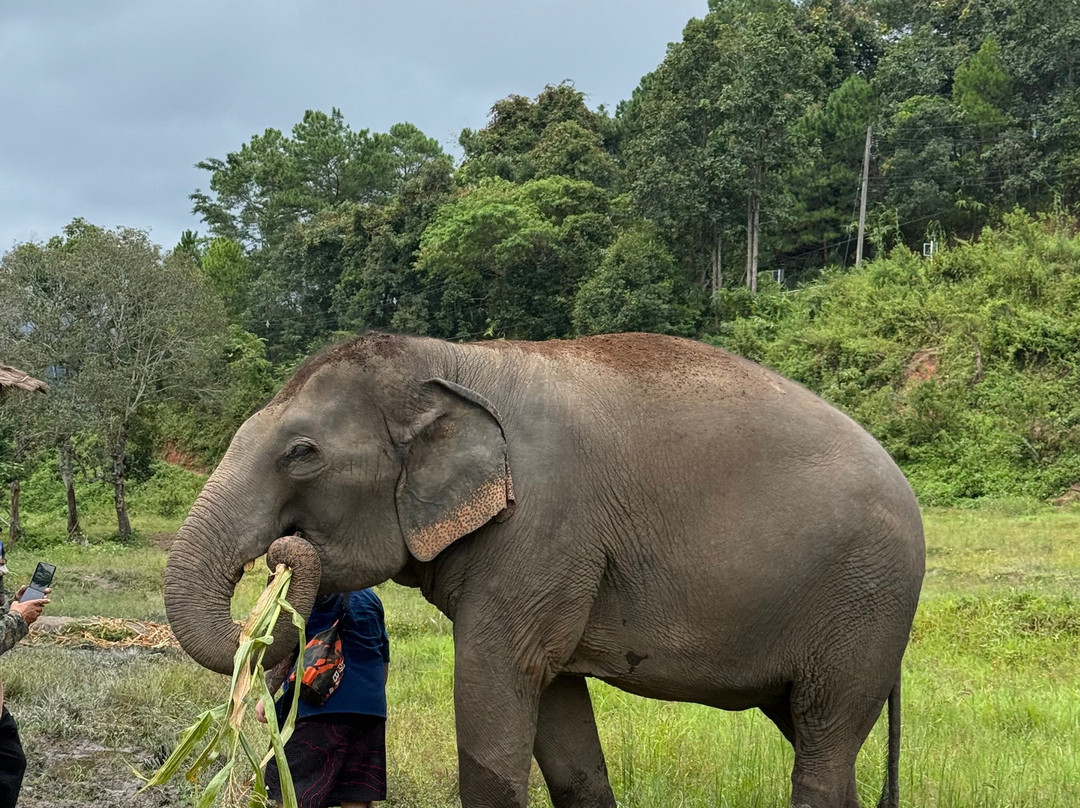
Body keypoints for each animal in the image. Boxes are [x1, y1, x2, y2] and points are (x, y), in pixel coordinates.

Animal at [164, 332, 925, 808]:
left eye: (302, 454)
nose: (284, 557)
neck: (455, 361)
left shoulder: (539, 534)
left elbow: (494, 698)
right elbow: (562, 726)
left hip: (864, 604)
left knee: (824, 747)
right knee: (821, 738)